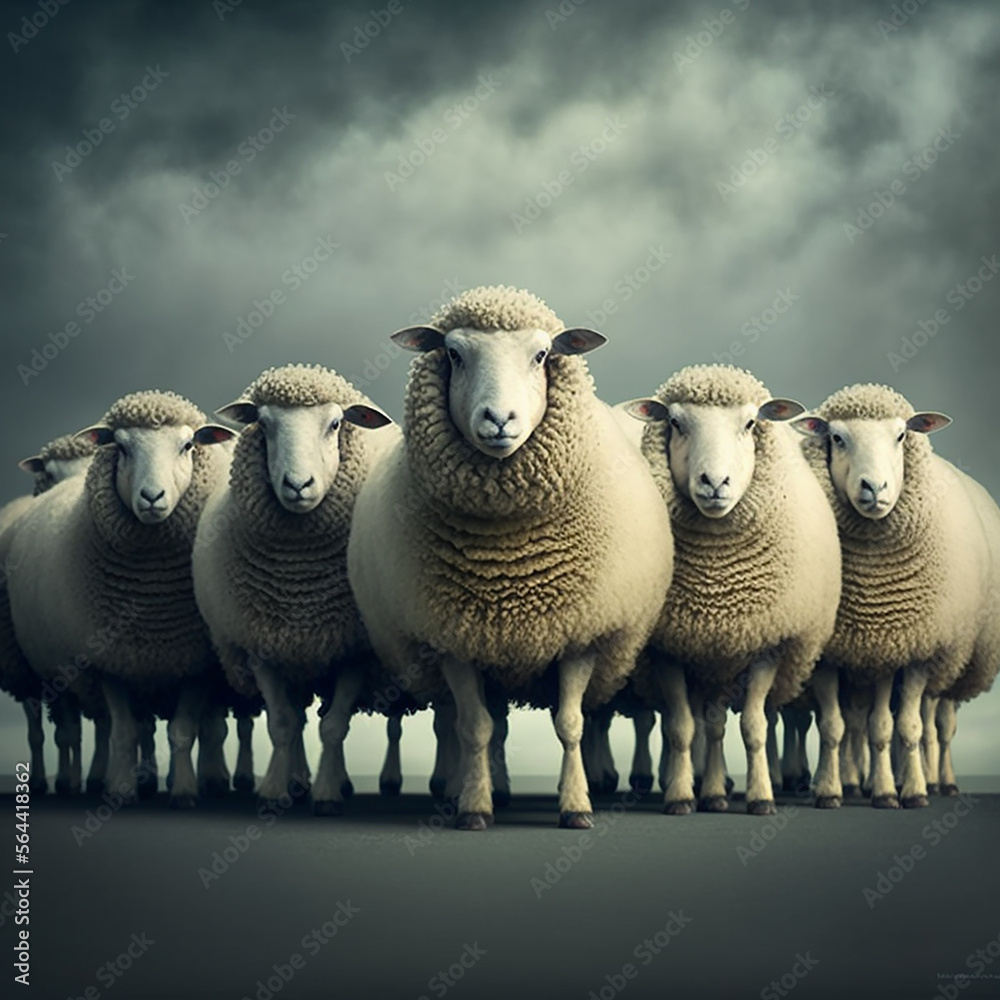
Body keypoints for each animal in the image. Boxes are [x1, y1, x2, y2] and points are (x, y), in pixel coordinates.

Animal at [191, 364, 402, 814]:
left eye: (336, 424)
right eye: (264, 424)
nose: (298, 485)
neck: (299, 583)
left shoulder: (353, 649)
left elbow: (334, 726)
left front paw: (327, 795)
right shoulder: (263, 646)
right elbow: (283, 724)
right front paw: (274, 789)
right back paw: (297, 779)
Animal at [347, 285, 674, 830]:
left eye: (541, 355)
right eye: (453, 354)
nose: (499, 420)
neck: (508, 559)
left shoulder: (580, 632)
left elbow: (571, 724)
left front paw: (576, 805)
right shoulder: (455, 638)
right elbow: (474, 727)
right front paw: (474, 807)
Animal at [624, 364, 842, 815]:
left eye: (750, 423)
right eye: (675, 423)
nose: (715, 481)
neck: (718, 585)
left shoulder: (766, 644)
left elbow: (754, 726)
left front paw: (761, 796)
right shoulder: (670, 647)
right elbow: (680, 727)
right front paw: (679, 795)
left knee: (720, 724)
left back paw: (719, 791)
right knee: (706, 724)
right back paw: (709, 790)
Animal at [794, 383, 1000, 808]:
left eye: (902, 435)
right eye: (836, 438)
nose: (875, 488)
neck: (873, 596)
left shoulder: (910, 650)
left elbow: (902, 727)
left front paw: (908, 790)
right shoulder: (833, 654)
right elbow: (836, 726)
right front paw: (831, 790)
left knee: (938, 725)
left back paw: (940, 782)